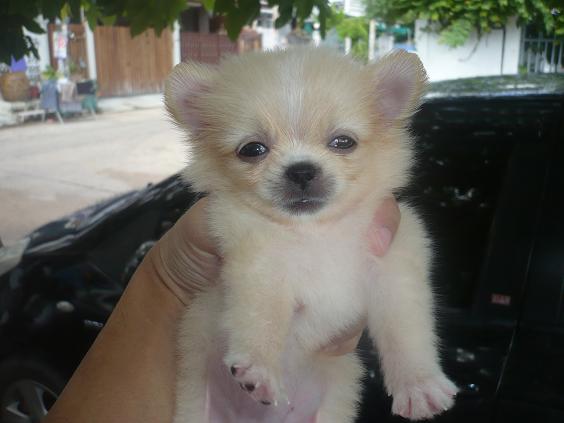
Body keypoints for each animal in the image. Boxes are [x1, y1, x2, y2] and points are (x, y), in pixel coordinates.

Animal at [165, 47, 457, 422]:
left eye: (343, 142)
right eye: (252, 149)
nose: (301, 170)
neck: (314, 232)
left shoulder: (395, 272)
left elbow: (406, 332)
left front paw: (419, 385)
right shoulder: (259, 266)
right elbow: (262, 317)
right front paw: (260, 368)